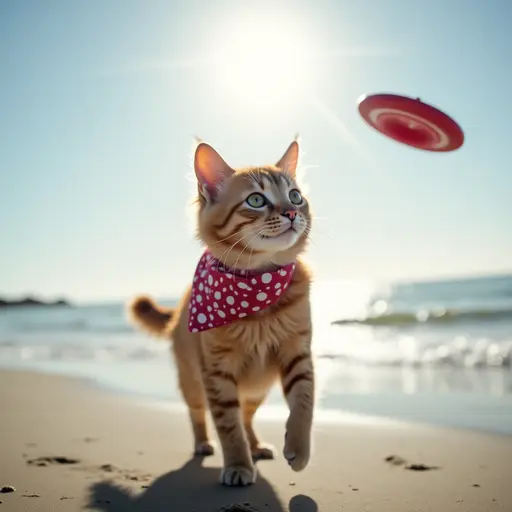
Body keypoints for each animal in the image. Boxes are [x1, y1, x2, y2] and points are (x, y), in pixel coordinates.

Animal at [129, 138, 312, 486]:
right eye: (256, 200)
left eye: (295, 195)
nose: (292, 212)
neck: (257, 290)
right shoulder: (217, 372)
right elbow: (228, 427)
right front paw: (238, 464)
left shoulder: (298, 351)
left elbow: (303, 403)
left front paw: (298, 448)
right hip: (193, 382)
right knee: (198, 414)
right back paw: (203, 443)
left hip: (257, 389)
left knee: (247, 416)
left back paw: (257, 446)